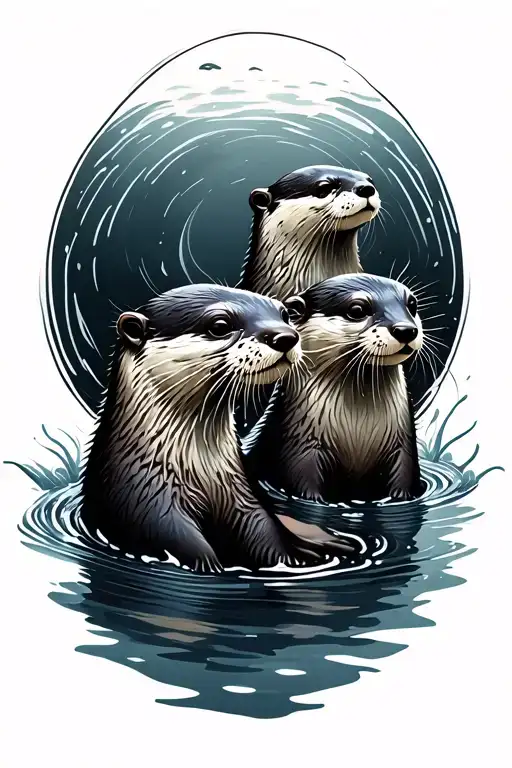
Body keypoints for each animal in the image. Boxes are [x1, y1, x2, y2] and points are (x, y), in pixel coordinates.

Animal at [81, 284, 357, 572]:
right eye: (220, 325)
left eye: (284, 315)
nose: (285, 337)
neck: (199, 471)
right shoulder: (147, 508)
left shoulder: (245, 500)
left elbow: (269, 539)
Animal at [245, 274, 424, 504]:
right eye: (357, 310)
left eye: (412, 305)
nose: (406, 330)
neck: (358, 430)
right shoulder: (299, 446)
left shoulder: (404, 447)